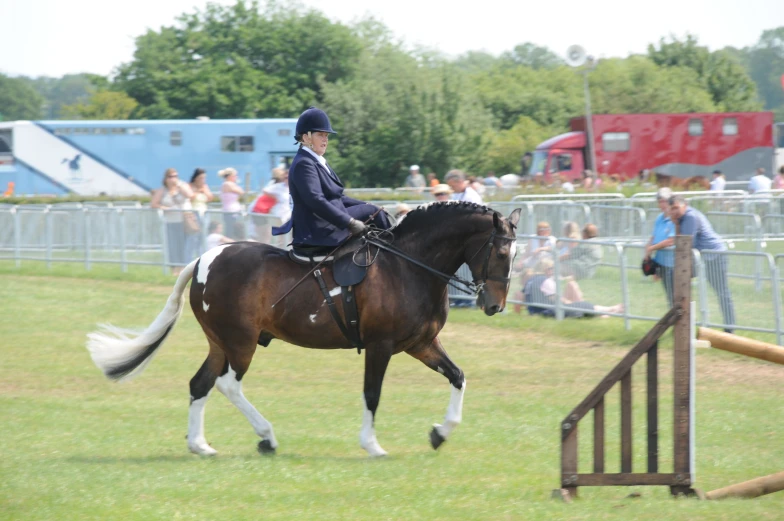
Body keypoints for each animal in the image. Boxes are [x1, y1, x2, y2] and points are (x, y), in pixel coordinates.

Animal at [87, 202, 520, 456]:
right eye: (501, 252)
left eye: (515, 253)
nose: (494, 305)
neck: (408, 265)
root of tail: (203, 259)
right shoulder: (380, 345)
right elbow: (373, 394)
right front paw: (372, 445)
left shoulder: (422, 343)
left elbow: (458, 376)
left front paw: (439, 433)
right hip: (241, 342)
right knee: (228, 385)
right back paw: (266, 437)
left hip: (220, 343)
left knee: (201, 383)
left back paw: (200, 445)